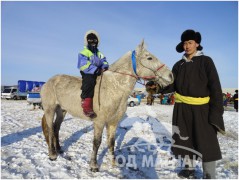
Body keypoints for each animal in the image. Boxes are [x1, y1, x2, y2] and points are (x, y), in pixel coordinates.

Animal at [40, 40, 173, 172]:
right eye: (149, 58)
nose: (170, 75)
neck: (114, 87)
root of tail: (48, 82)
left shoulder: (113, 123)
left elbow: (111, 142)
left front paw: (114, 163)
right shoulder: (99, 122)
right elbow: (97, 142)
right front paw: (94, 165)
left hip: (62, 111)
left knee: (56, 128)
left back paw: (59, 149)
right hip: (50, 110)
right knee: (51, 129)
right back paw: (52, 154)